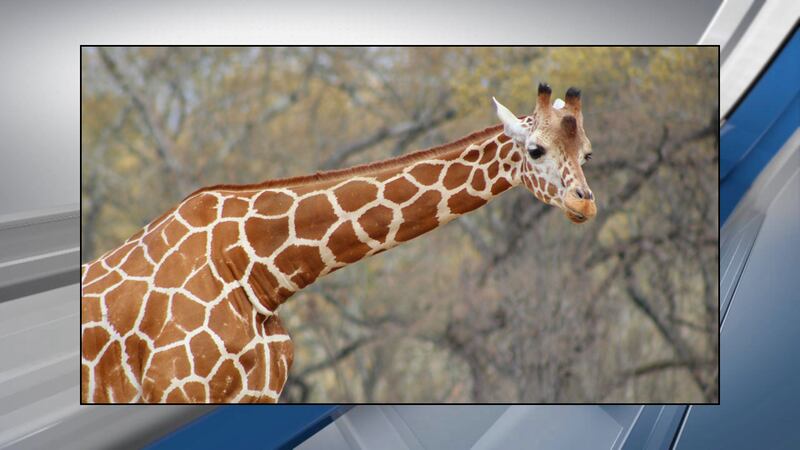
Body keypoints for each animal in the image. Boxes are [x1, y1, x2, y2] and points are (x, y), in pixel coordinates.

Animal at [81, 83, 596, 403]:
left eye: (587, 152)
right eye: (535, 150)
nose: (586, 203)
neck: (255, 269)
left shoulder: (259, 394)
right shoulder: (176, 388)